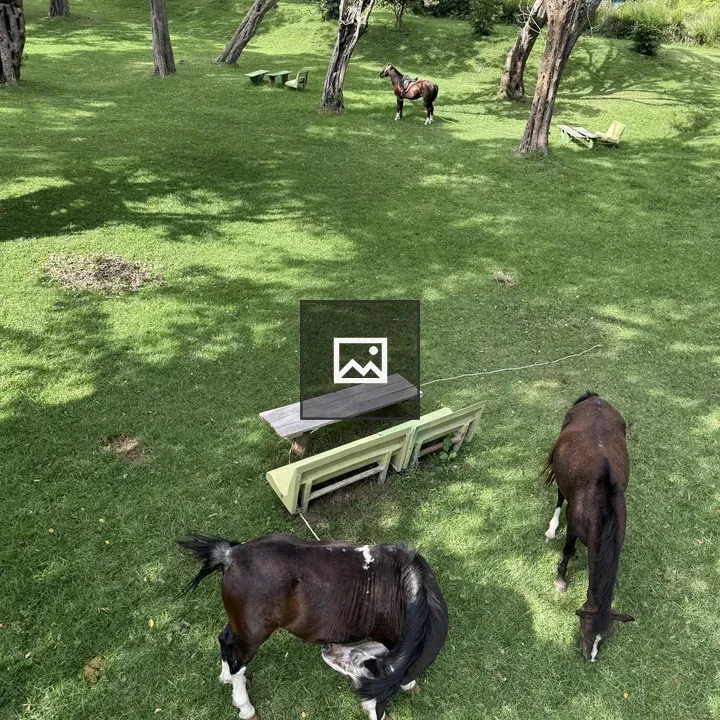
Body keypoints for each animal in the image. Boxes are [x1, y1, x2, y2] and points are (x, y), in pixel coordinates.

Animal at [179, 532, 448, 720]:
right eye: (357, 667)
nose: (329, 648)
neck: (408, 590)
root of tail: (229, 555)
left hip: (240, 626)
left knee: (226, 640)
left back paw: (225, 676)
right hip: (253, 636)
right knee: (238, 663)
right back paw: (245, 706)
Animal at [544, 392, 635, 661]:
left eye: (607, 636)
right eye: (585, 628)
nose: (591, 657)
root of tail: (596, 398)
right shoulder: (574, 527)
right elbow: (568, 550)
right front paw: (561, 580)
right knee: (560, 495)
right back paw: (552, 527)